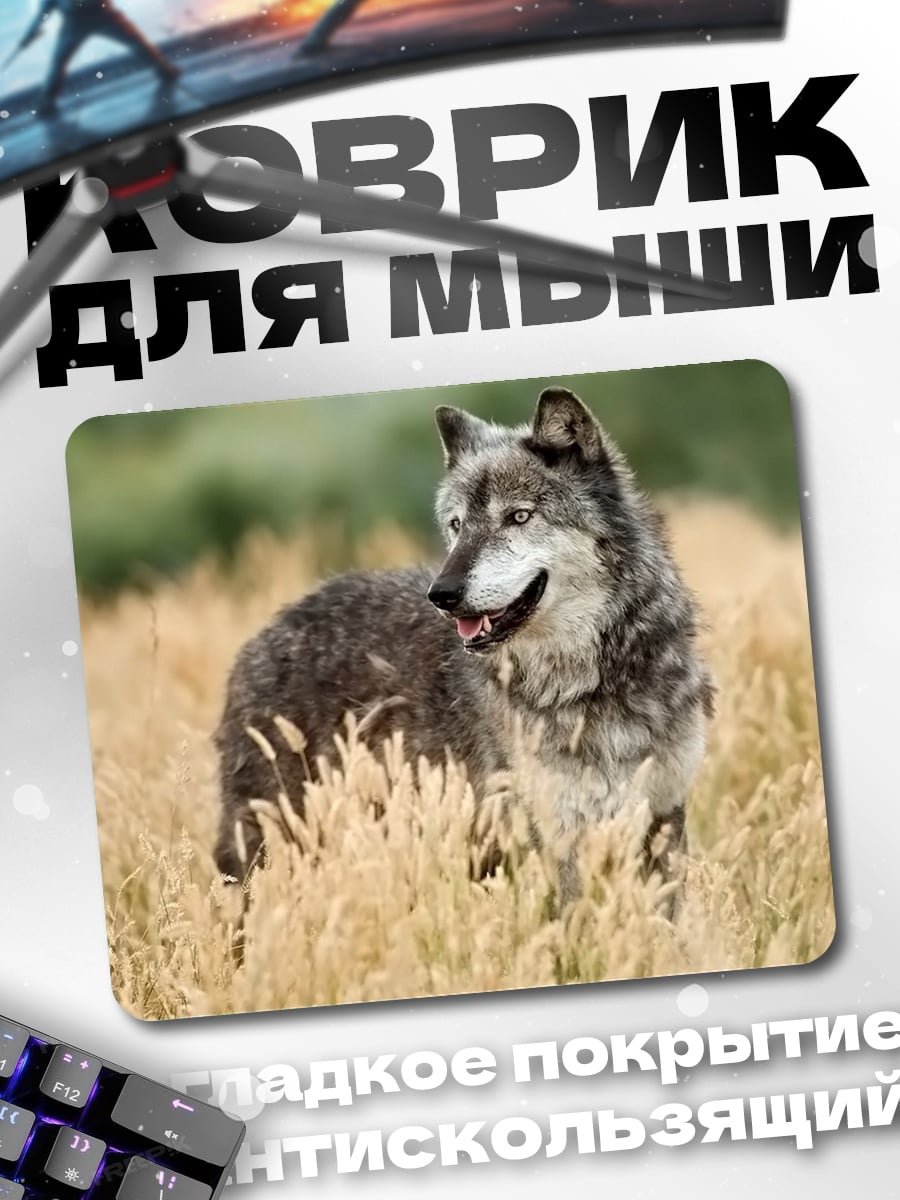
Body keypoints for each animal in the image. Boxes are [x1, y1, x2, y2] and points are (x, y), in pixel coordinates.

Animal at [213, 386, 714, 902]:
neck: (589, 681)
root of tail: (267, 632)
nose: (442, 594)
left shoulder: (661, 818)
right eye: (456, 525)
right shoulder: (553, 834)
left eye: (518, 517)